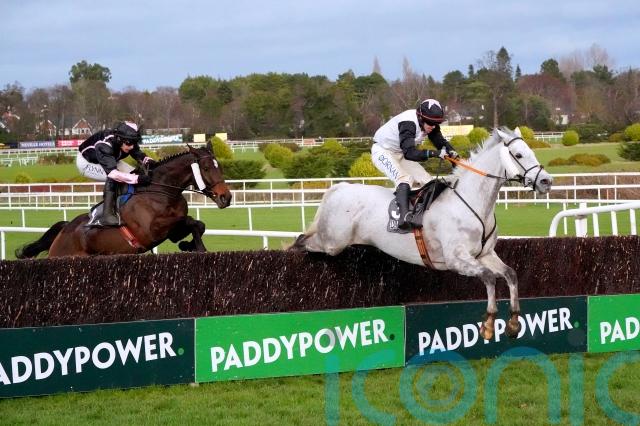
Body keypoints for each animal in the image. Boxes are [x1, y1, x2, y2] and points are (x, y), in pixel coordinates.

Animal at [16, 141, 232, 258]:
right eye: (206, 168)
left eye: (219, 166)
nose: (226, 197)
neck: (160, 192)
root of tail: (64, 229)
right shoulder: (151, 231)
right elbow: (189, 221)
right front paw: (196, 247)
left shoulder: (170, 231)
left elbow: (198, 224)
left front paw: (188, 245)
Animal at [291, 127, 553, 340]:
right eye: (518, 155)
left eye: (530, 150)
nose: (546, 181)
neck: (473, 202)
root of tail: (339, 187)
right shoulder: (457, 260)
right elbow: (489, 277)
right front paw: (488, 325)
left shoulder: (485, 254)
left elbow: (510, 274)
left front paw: (514, 323)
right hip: (332, 242)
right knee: (304, 240)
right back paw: (293, 250)